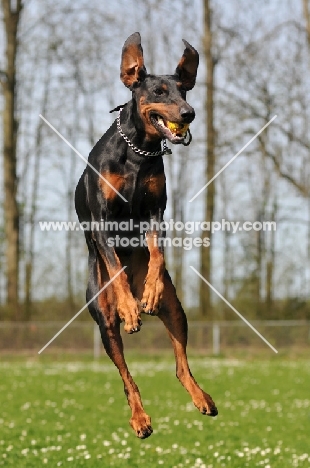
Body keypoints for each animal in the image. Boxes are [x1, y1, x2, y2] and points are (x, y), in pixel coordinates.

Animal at [74, 33, 218, 438]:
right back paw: (140, 417)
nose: (188, 113)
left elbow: (156, 251)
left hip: (177, 310)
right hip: (103, 322)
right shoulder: (102, 220)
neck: (139, 152)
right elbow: (115, 267)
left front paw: (149, 289)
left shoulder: (156, 212)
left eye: (185, 89)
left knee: (180, 364)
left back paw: (202, 397)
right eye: (158, 91)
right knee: (126, 377)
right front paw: (129, 306)